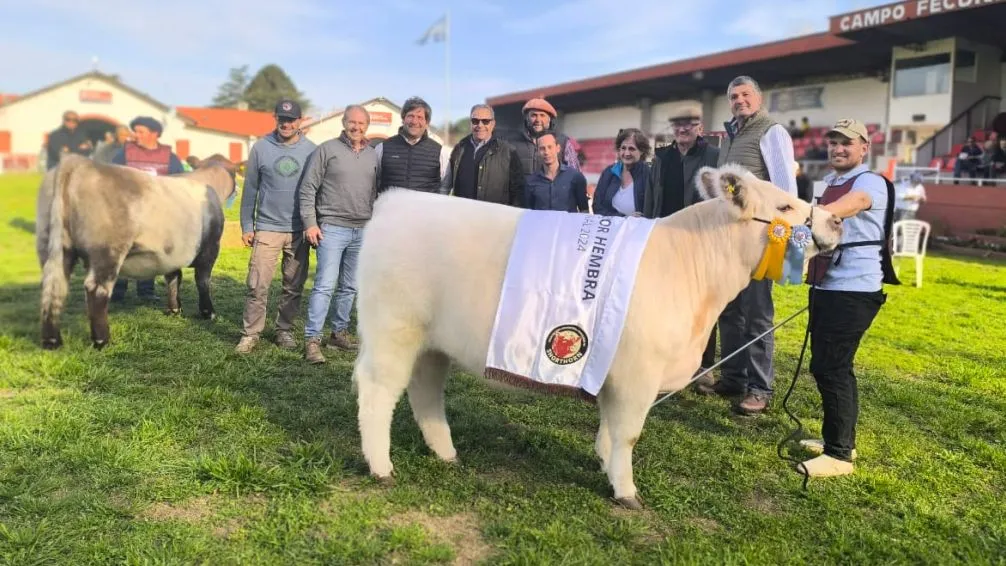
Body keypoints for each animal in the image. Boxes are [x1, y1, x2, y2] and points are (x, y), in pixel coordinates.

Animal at [36, 153, 236, 349]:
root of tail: (76, 162)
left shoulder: (172, 252)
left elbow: (173, 277)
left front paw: (174, 309)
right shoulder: (211, 246)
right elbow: (202, 281)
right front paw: (208, 312)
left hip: (52, 244)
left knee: (54, 286)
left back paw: (52, 341)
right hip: (107, 250)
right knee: (97, 289)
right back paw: (102, 341)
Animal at [350, 162, 845, 508]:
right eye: (784, 207)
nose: (836, 222)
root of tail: (396, 201)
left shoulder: (614, 366)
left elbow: (609, 428)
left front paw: (605, 464)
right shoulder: (638, 372)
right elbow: (628, 433)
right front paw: (626, 492)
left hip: (432, 343)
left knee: (425, 391)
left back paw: (446, 453)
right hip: (392, 330)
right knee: (377, 392)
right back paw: (381, 467)